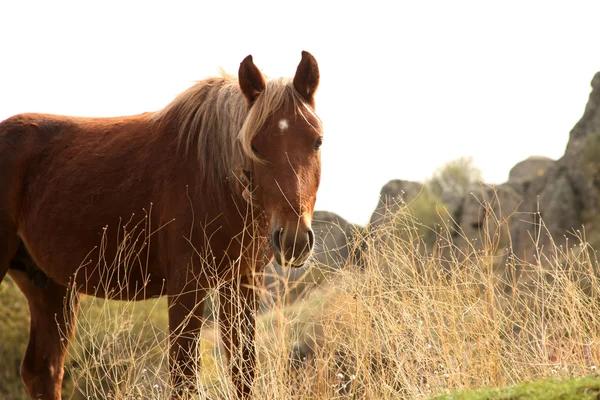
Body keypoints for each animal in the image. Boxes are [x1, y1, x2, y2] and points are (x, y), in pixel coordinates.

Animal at [0, 50, 324, 396]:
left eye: (317, 141)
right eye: (254, 145)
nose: (293, 240)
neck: (212, 179)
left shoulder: (242, 283)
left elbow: (243, 373)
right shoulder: (186, 287)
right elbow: (184, 377)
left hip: (50, 287)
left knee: (43, 371)